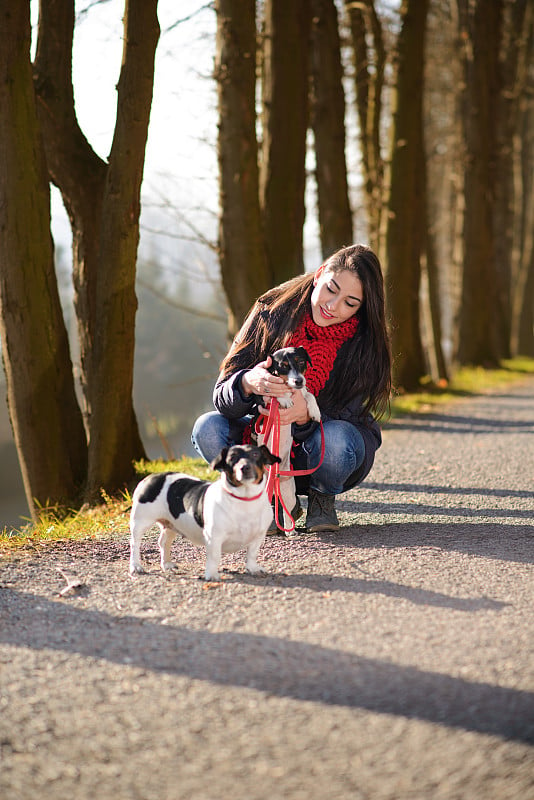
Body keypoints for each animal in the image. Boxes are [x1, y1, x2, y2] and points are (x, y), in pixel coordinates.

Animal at [130, 444, 282, 580]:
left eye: (255, 454)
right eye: (232, 457)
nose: (244, 467)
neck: (244, 499)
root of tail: (149, 478)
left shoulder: (258, 536)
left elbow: (252, 554)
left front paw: (253, 568)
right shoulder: (214, 537)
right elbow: (214, 557)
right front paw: (212, 574)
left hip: (171, 524)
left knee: (164, 542)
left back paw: (166, 564)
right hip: (140, 521)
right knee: (135, 543)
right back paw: (136, 566)